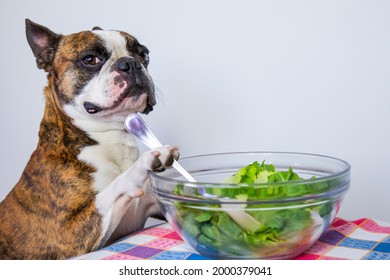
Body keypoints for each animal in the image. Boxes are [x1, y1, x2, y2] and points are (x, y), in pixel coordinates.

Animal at [0, 19, 179, 260]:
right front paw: (147, 161)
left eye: (144, 54)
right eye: (90, 59)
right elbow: (115, 187)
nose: (130, 63)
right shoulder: (69, 235)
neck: (110, 135)